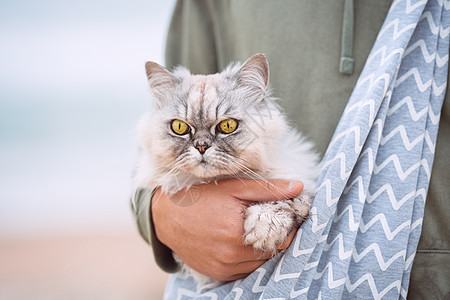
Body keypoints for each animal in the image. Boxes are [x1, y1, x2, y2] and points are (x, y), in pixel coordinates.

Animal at [133, 54, 320, 286]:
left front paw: (264, 228)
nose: (201, 146)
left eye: (228, 126)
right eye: (179, 127)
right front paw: (264, 229)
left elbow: (282, 200)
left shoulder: (298, 181)